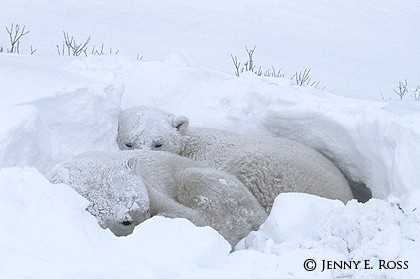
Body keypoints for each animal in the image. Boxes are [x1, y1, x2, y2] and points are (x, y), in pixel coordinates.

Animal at [115, 106, 354, 212]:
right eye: (129, 143)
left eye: (159, 143)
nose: (142, 158)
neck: (189, 145)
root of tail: (346, 195)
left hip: (273, 170)